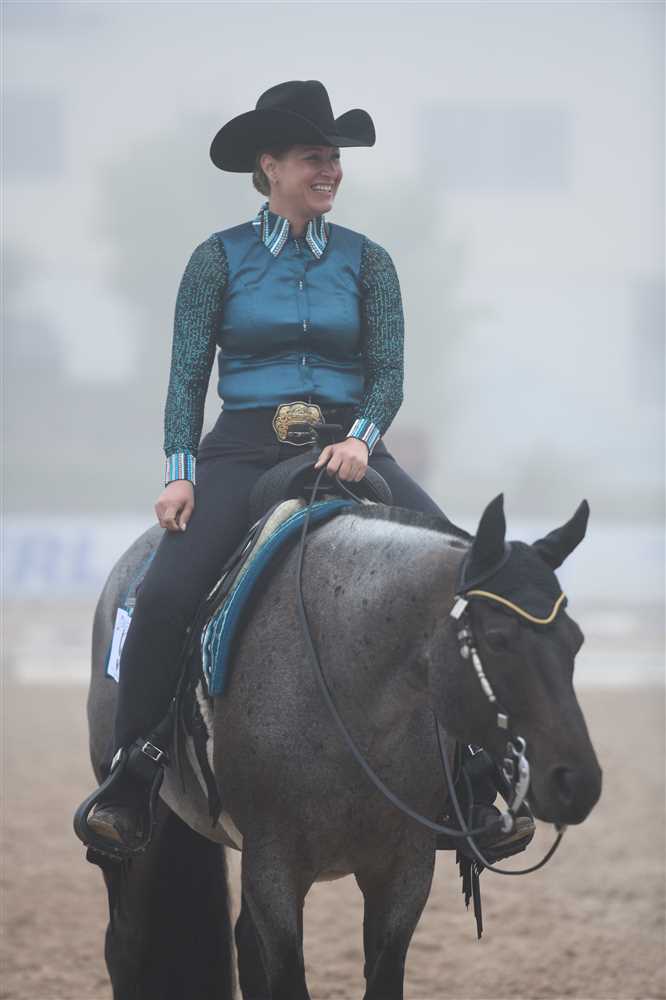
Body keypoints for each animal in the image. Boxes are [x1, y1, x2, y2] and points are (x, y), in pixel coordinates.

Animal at [84, 490, 602, 1000]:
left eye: (576, 640)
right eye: (497, 638)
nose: (578, 783)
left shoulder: (404, 871)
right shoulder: (274, 870)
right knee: (125, 945)